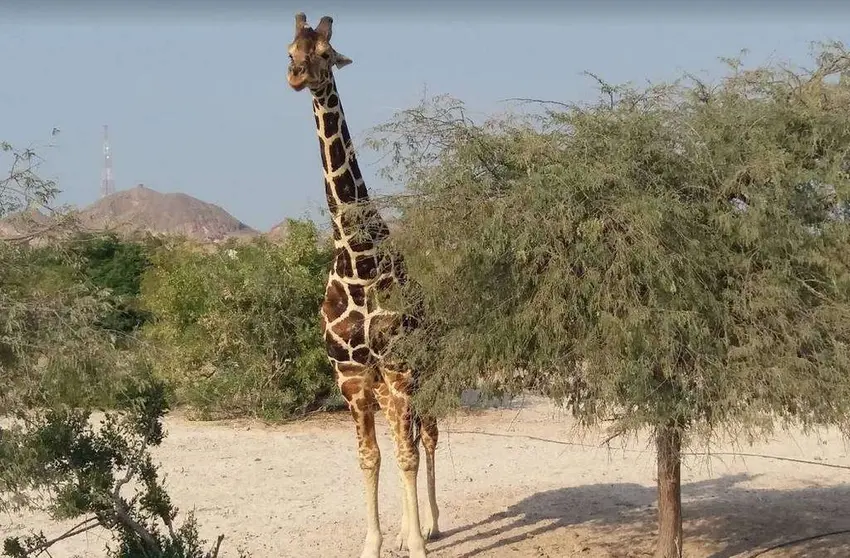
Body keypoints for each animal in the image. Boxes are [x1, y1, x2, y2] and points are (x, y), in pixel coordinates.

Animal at [288, 12, 440, 558]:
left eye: (326, 53)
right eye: (290, 49)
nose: (297, 75)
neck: (358, 260)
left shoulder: (397, 371)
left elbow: (406, 455)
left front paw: (416, 542)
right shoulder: (352, 379)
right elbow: (370, 458)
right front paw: (376, 541)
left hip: (426, 375)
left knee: (426, 438)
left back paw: (430, 524)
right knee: (407, 441)